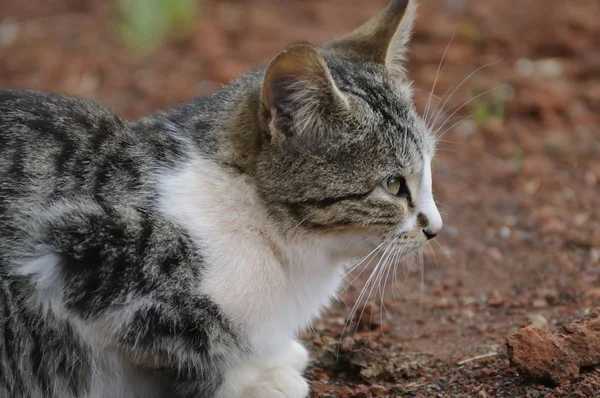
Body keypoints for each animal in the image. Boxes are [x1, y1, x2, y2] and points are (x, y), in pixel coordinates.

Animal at [0, 0, 440, 396]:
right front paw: (256, 379)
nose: (435, 228)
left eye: (429, 169)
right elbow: (196, 342)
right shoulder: (76, 251)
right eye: (393, 185)